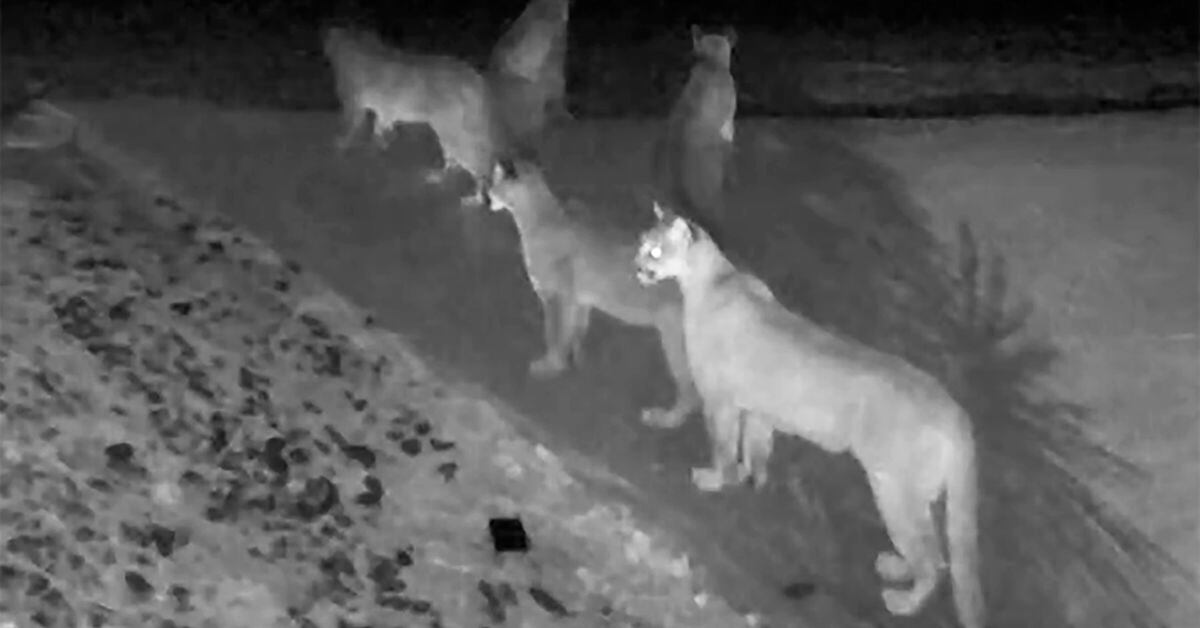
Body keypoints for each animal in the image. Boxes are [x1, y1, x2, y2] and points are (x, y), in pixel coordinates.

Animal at [485, 158, 701, 428]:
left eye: (494, 183)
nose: (486, 196)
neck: (537, 216)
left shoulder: (556, 298)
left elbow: (553, 333)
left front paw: (550, 365)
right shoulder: (578, 300)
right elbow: (575, 331)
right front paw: (574, 359)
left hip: (674, 338)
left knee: (690, 392)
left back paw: (664, 419)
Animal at [633, 204, 984, 628]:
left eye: (655, 251)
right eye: (641, 243)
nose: (636, 266)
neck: (714, 280)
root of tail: (955, 410)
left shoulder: (721, 400)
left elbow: (722, 444)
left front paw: (715, 479)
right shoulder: (757, 409)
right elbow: (755, 448)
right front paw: (750, 479)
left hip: (894, 488)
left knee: (933, 558)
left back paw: (902, 600)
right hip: (914, 494)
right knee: (933, 552)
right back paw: (897, 566)